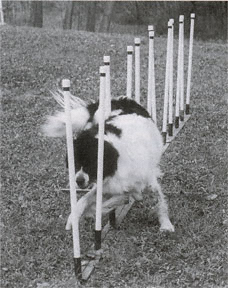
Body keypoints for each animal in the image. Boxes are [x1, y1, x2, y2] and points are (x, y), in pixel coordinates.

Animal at [42, 93, 175, 233]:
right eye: (76, 164)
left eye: (91, 164)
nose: (78, 180)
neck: (117, 161)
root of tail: (118, 100)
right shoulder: (107, 185)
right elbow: (88, 200)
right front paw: (74, 217)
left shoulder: (145, 181)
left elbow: (158, 201)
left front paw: (166, 224)